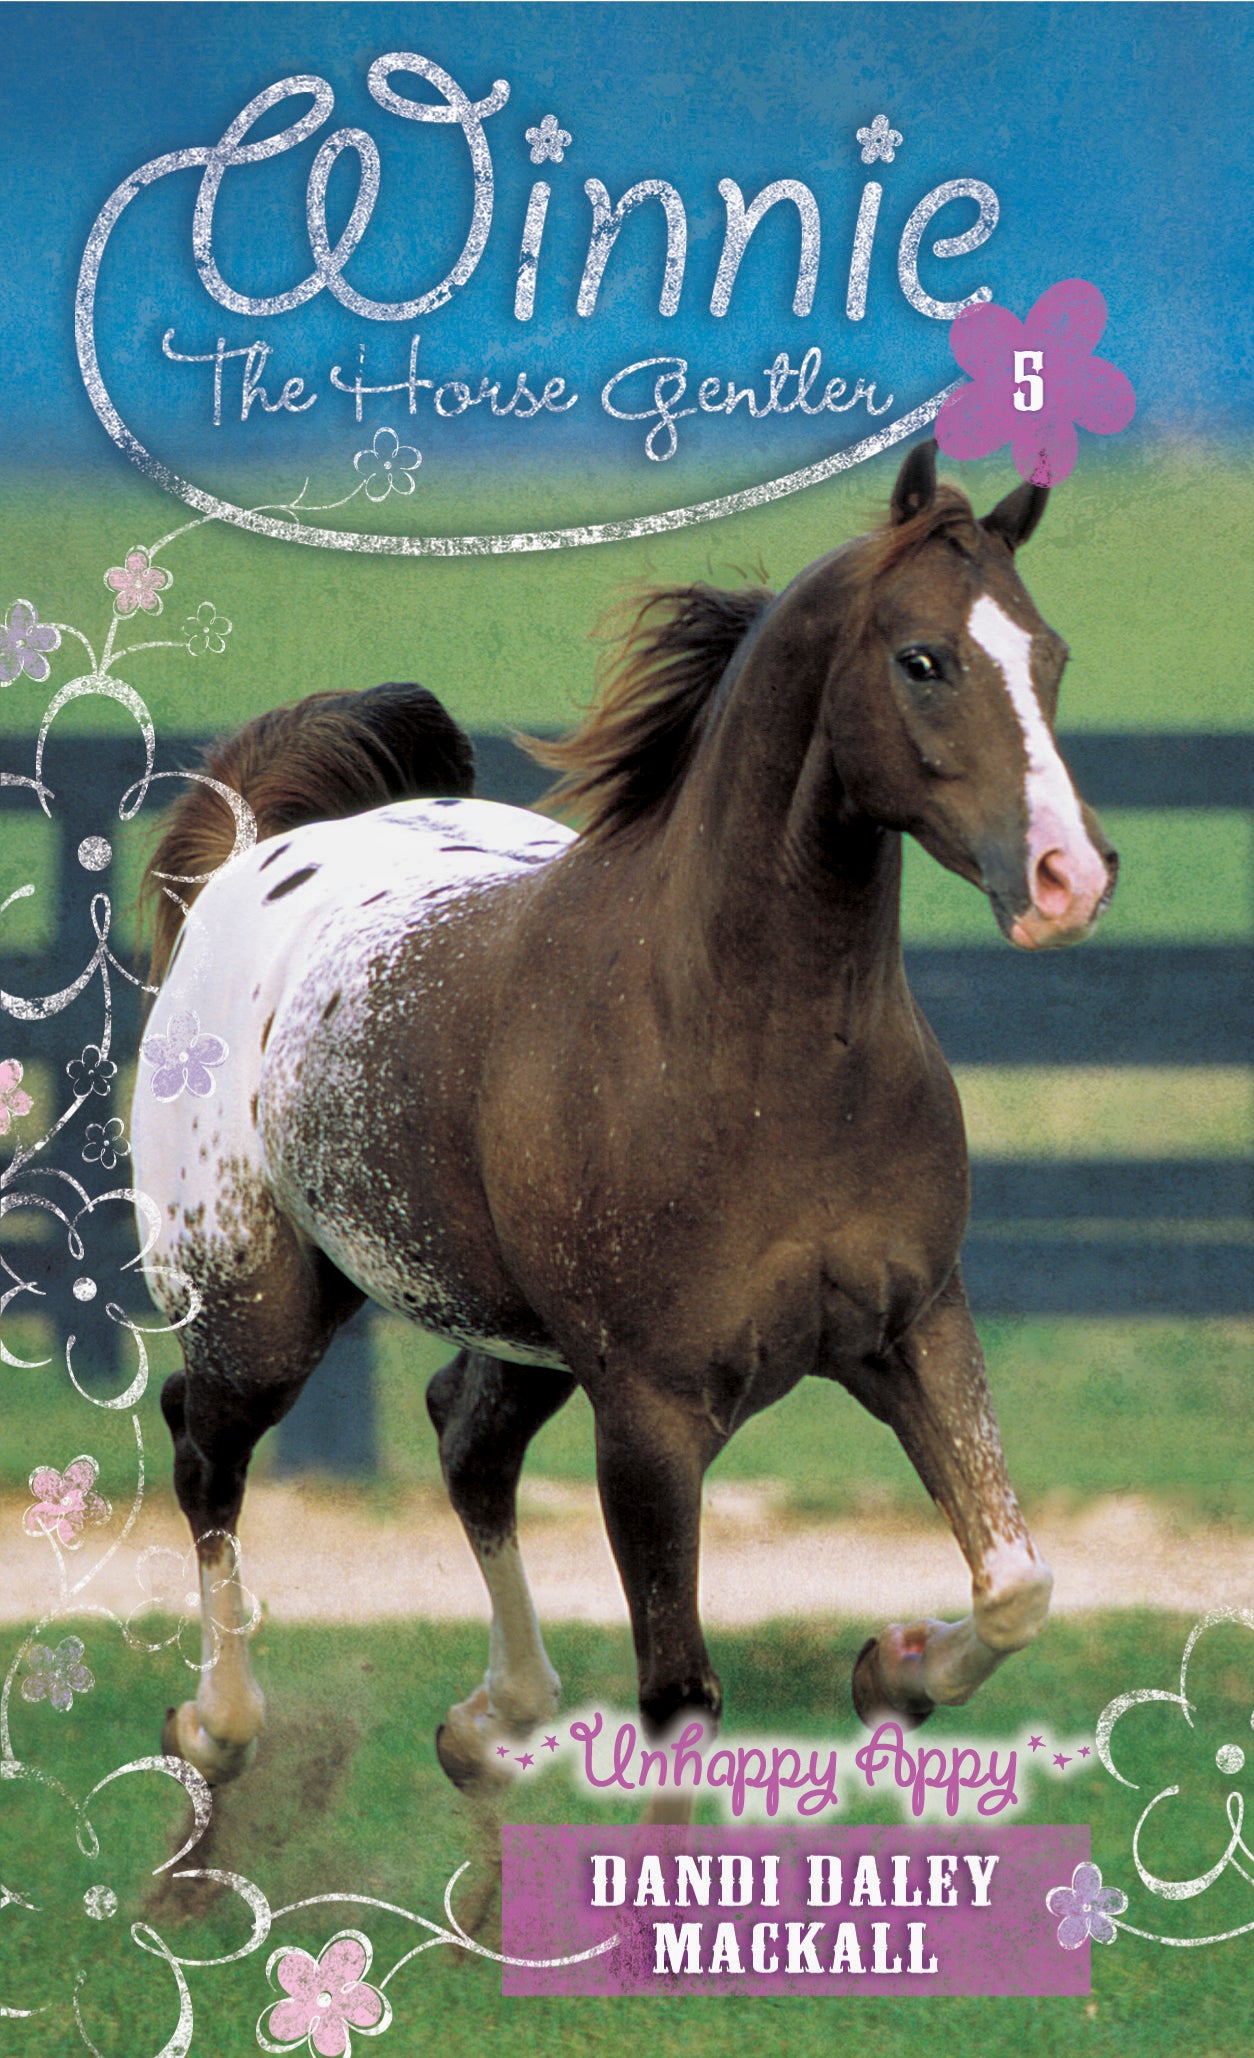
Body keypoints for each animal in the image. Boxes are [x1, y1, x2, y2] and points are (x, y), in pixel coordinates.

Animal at [130, 440, 1117, 1793]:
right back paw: (216, 1727)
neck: (753, 1059)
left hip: (511, 1330)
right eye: (924, 659)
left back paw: (494, 1718)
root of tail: (245, 862)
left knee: (465, 1440)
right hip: (259, 1311)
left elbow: (1019, 1582)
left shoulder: (914, 1325)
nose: (1071, 878)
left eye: (1052, 654)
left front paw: (893, 1668)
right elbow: (680, 1694)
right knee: (202, 1445)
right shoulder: (648, 1416)